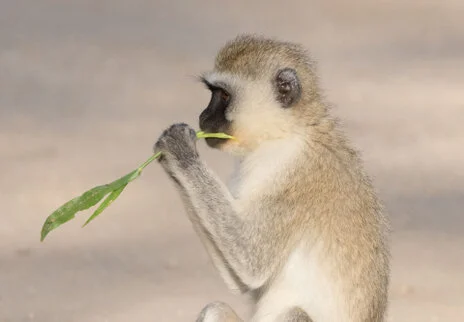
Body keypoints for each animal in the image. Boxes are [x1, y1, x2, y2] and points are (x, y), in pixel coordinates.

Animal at [154, 34, 390, 322]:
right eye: (212, 93)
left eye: (224, 95)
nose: (203, 116)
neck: (284, 132)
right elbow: (242, 280)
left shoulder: (292, 173)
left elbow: (253, 260)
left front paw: (180, 149)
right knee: (215, 308)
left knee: (295, 313)